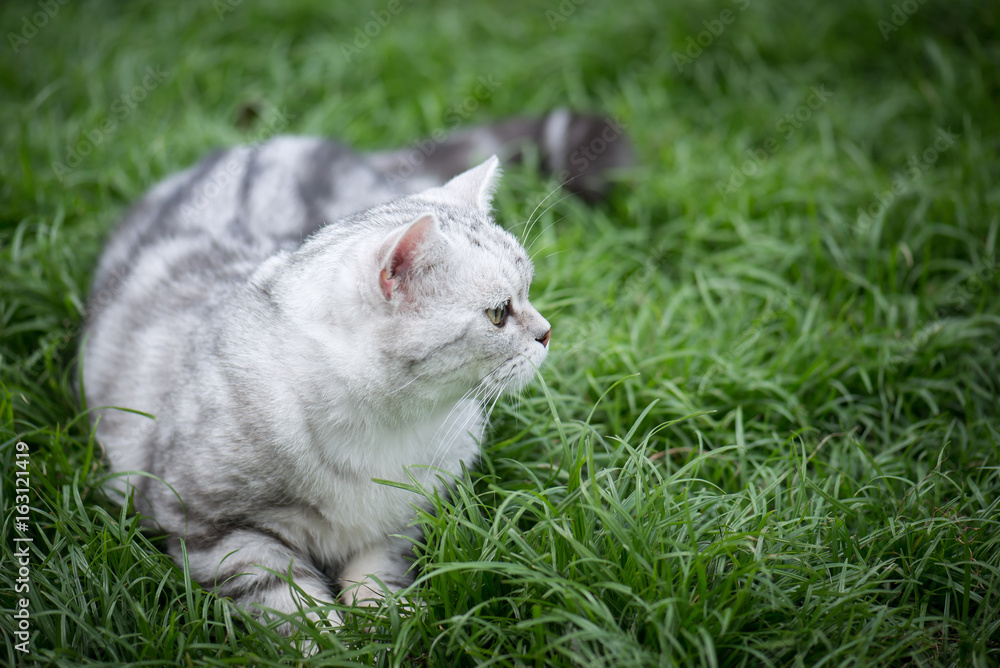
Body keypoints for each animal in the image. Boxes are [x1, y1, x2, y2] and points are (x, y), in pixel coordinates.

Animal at [78, 108, 628, 632]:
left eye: (529, 290)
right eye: (498, 313)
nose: (547, 332)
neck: (389, 424)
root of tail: (277, 144)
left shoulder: (404, 514)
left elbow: (377, 572)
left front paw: (391, 618)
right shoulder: (213, 526)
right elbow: (286, 600)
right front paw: (326, 640)